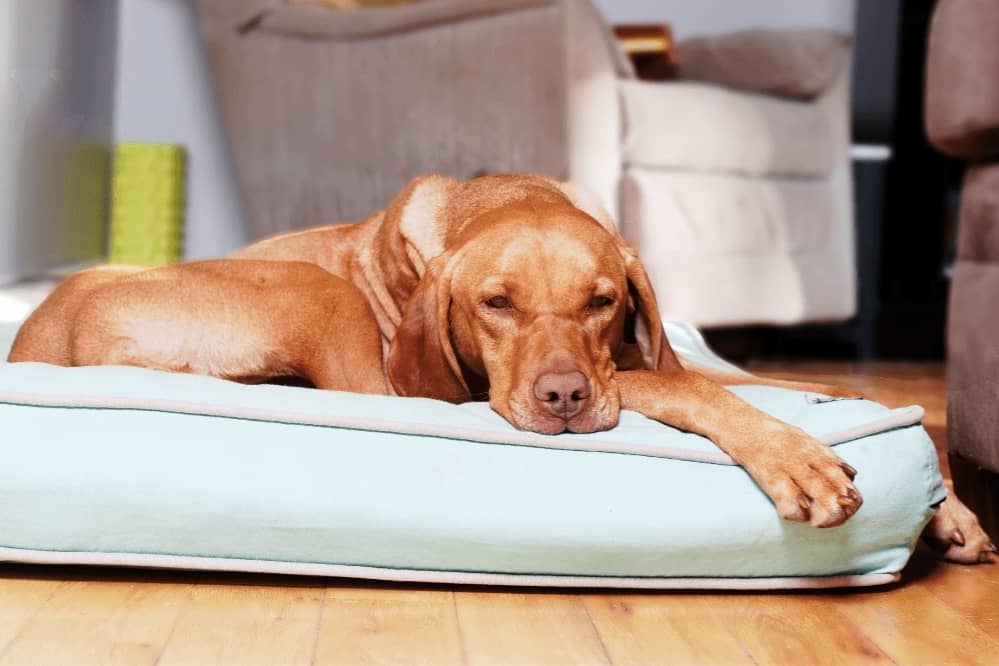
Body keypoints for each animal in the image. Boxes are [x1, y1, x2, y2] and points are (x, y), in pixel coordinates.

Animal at [7, 172, 992, 560]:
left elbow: (785, 383)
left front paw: (943, 504)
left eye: (600, 300)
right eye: (496, 304)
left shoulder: (640, 347)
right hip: (318, 298)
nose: (562, 398)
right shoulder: (488, 387)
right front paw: (797, 459)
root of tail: (43, 335)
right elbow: (686, 385)